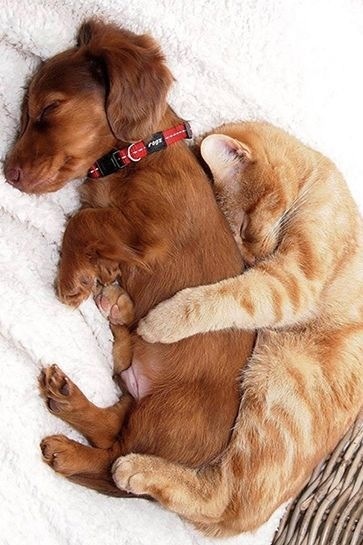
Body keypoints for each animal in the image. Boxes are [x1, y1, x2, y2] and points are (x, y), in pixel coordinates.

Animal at [4, 20, 256, 498]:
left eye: (49, 108)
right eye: (24, 115)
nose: (8, 174)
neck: (133, 155)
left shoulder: (149, 227)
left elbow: (83, 220)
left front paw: (72, 280)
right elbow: (91, 223)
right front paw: (96, 274)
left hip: (168, 413)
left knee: (114, 462)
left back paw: (66, 451)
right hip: (134, 394)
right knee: (110, 430)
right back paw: (73, 388)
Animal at [112, 121, 362, 532]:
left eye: (244, 225)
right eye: (235, 238)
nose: (253, 259)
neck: (315, 181)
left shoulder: (292, 283)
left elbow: (230, 297)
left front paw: (163, 320)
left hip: (273, 383)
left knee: (221, 497)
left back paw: (134, 469)